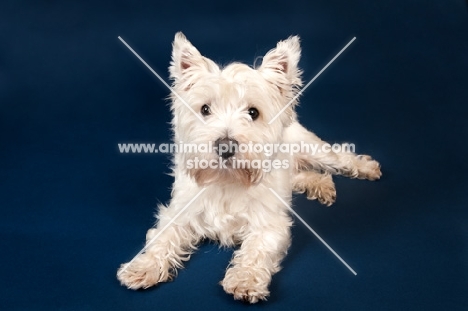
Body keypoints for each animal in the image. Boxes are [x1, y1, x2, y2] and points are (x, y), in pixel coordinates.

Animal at [117, 33, 380, 304]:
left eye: (253, 112)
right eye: (205, 109)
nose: (225, 146)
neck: (227, 180)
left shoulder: (269, 224)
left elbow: (256, 250)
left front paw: (245, 280)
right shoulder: (179, 213)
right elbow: (163, 238)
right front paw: (143, 267)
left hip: (313, 148)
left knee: (339, 157)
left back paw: (365, 168)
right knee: (298, 175)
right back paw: (321, 185)